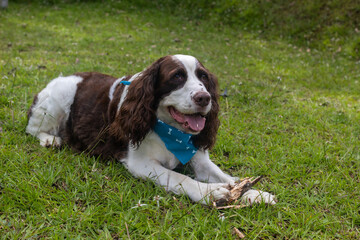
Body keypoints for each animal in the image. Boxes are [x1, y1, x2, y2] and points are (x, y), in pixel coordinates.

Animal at [26, 54, 276, 204]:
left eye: (203, 77)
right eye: (177, 76)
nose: (204, 98)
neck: (172, 132)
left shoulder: (199, 158)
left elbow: (225, 176)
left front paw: (253, 192)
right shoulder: (141, 163)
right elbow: (178, 177)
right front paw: (210, 192)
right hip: (58, 100)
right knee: (32, 128)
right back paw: (50, 139)